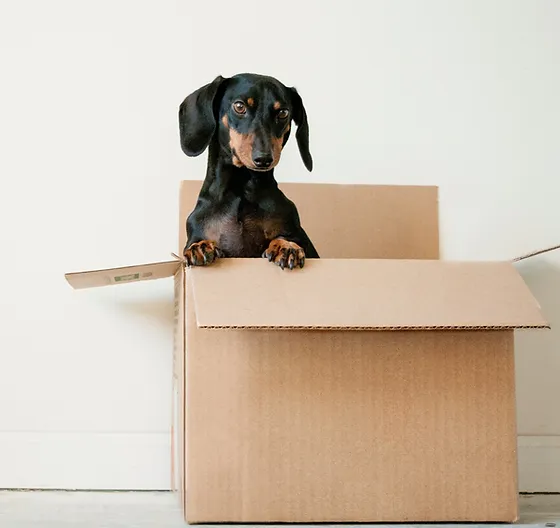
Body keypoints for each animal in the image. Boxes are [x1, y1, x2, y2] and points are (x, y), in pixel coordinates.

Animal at [179, 72, 320, 270]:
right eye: (239, 106)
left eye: (283, 113)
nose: (264, 159)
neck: (241, 188)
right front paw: (200, 246)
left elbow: (286, 238)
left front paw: (286, 246)